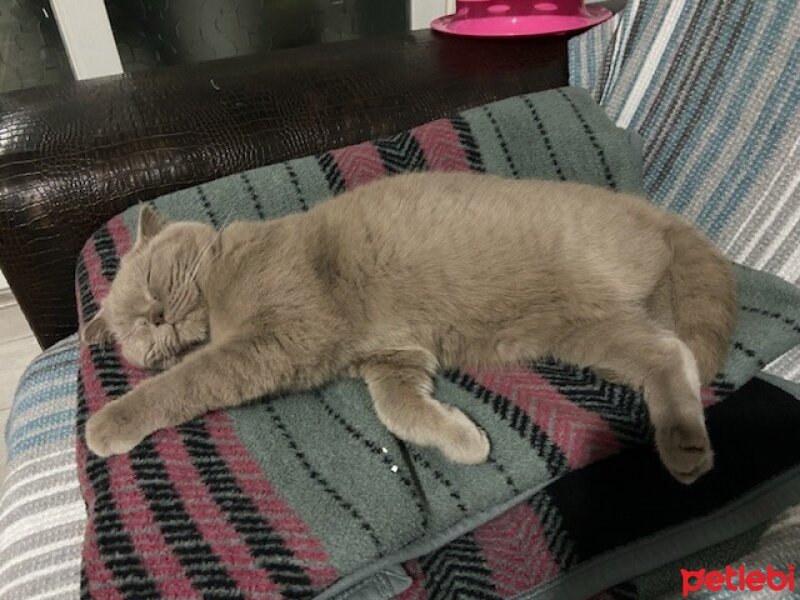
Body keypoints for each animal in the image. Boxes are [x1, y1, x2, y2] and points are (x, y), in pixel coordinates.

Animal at [83, 171, 736, 486]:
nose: (155, 319)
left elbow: (186, 382)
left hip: (588, 299)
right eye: (137, 331)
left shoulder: (277, 337)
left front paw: (110, 423)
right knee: (666, 348)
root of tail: (647, 207)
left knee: (675, 354)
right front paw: (465, 439)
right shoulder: (392, 357)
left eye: (151, 282)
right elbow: (399, 410)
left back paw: (685, 447)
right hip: (582, 328)